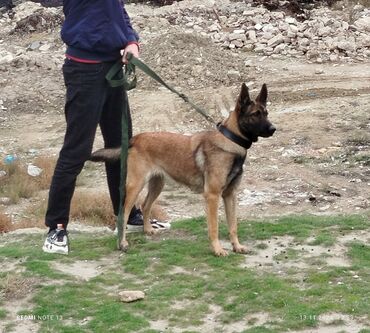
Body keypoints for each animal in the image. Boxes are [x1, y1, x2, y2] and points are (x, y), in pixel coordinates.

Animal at [89, 84, 274, 255]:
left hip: (157, 185)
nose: (273, 129)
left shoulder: (230, 195)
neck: (231, 140)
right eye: (255, 114)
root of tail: (136, 138)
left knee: (145, 205)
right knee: (124, 213)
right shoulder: (212, 196)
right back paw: (122, 243)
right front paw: (217, 249)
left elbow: (233, 225)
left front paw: (237, 246)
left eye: (266, 113)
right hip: (136, 185)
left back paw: (147, 230)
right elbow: (214, 227)